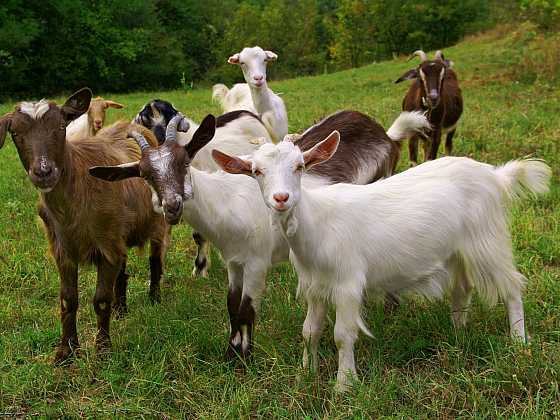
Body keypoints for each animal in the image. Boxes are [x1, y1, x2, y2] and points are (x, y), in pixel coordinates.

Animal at [0, 88, 168, 360]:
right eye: (15, 133)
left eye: (61, 126)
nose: (44, 172)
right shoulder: (63, 249)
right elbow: (68, 299)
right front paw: (66, 351)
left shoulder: (106, 245)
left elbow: (100, 299)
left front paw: (103, 349)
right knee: (123, 270)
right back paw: (121, 309)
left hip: (156, 222)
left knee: (155, 259)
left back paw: (154, 298)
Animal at [89, 110, 426, 358]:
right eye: (144, 174)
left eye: (184, 161)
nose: (172, 205)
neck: (226, 202)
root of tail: (384, 134)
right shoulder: (234, 261)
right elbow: (231, 305)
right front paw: (231, 355)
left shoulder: (257, 262)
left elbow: (246, 308)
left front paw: (245, 359)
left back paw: (390, 308)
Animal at [214, 132, 552, 390]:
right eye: (256, 171)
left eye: (299, 166)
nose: (281, 199)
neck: (317, 224)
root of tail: (495, 176)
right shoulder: (315, 286)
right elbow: (309, 331)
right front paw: (305, 374)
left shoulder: (348, 283)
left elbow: (342, 335)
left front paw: (344, 385)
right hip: (458, 249)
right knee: (462, 288)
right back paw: (458, 334)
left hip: (487, 238)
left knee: (512, 286)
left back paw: (519, 342)